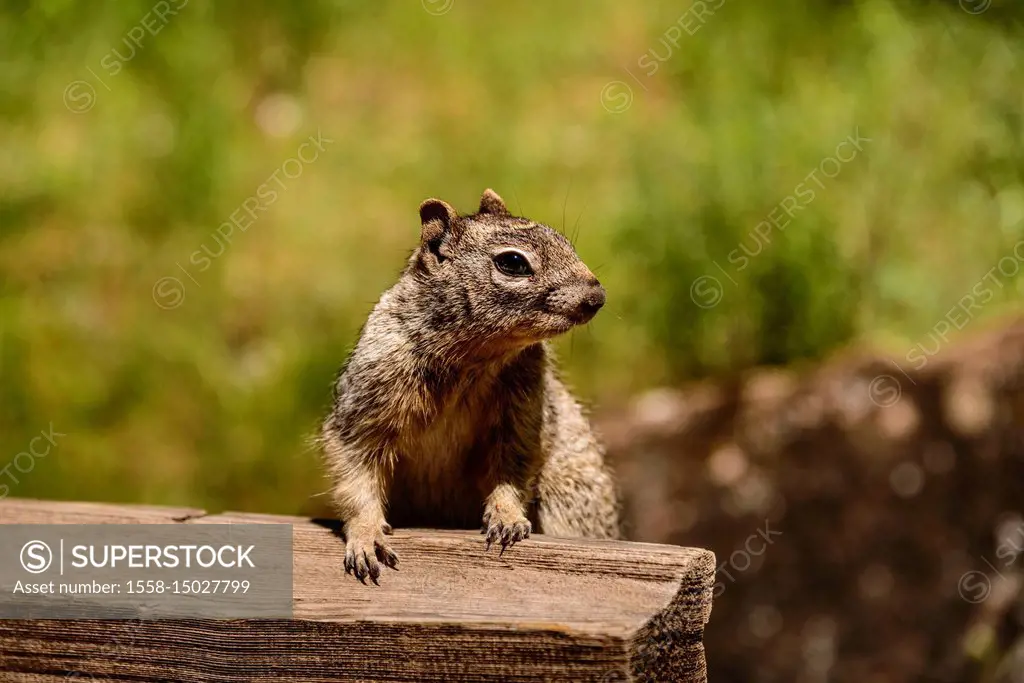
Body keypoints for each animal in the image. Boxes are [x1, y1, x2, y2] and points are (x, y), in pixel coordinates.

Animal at [323, 189, 618, 585]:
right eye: (512, 263)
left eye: (563, 240)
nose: (596, 297)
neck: (474, 357)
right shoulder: (367, 402)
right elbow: (356, 472)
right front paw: (366, 537)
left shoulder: (523, 411)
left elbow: (512, 466)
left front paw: (506, 517)